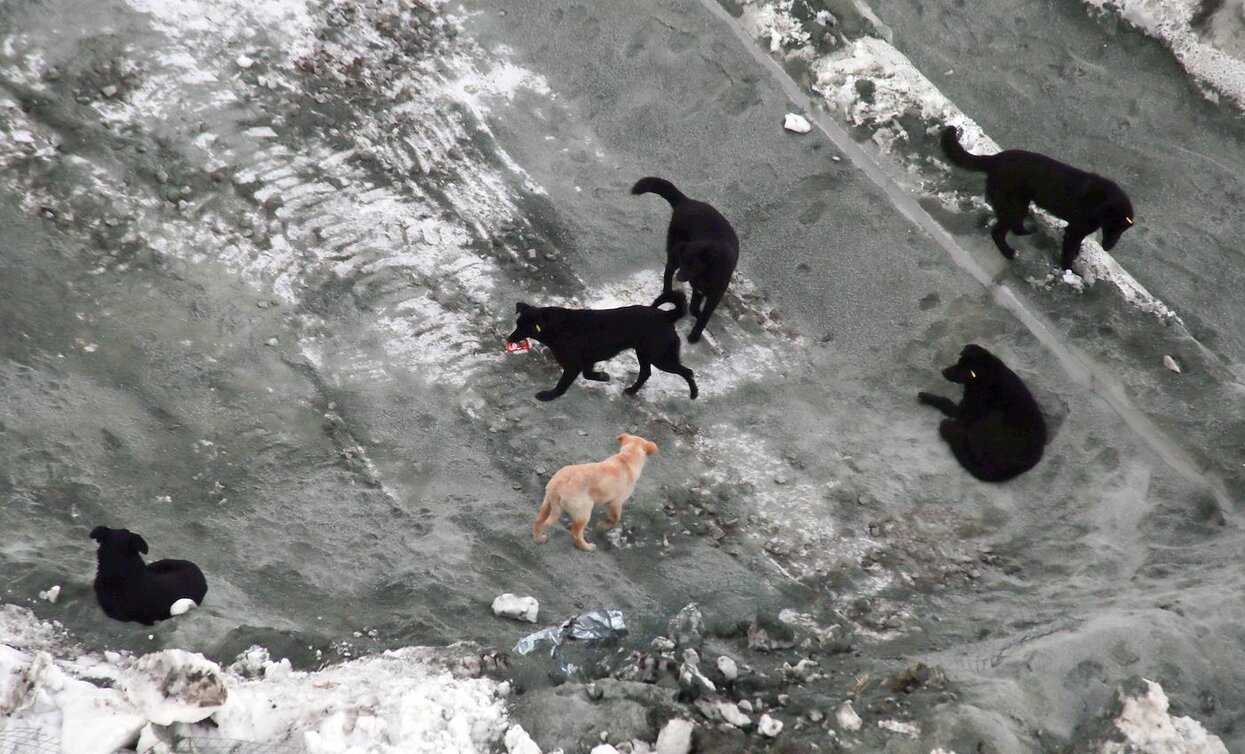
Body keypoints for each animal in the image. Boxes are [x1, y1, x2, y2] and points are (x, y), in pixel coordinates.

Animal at [507, 292, 702, 405]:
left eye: (524, 328)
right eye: (517, 323)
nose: (509, 338)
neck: (558, 327)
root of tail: (667, 315)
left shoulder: (573, 365)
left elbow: (562, 385)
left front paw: (548, 396)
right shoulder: (586, 361)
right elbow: (588, 374)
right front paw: (602, 376)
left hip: (660, 357)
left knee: (688, 372)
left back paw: (694, 394)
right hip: (644, 353)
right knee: (646, 373)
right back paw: (632, 390)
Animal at [632, 176, 737, 343]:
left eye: (693, 265)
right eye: (684, 262)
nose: (680, 277)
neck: (707, 272)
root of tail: (686, 201)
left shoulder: (713, 293)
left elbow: (699, 311)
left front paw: (697, 327)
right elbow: (698, 311)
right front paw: (696, 334)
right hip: (673, 250)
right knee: (668, 270)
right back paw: (667, 290)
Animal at [921, 348, 1045, 485]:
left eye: (964, 369)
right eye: (959, 362)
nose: (943, 371)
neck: (985, 379)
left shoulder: (966, 413)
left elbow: (945, 401)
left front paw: (926, 396)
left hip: (992, 419)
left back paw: (952, 431)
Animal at [936, 126, 1135, 271]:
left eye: (1121, 230)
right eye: (1111, 226)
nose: (1107, 247)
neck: (1100, 202)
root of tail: (995, 159)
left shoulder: (1079, 231)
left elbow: (1076, 247)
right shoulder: (1074, 231)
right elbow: (1069, 253)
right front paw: (1069, 272)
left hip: (1021, 204)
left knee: (1016, 228)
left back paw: (1028, 232)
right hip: (1012, 207)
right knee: (998, 232)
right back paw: (1009, 253)